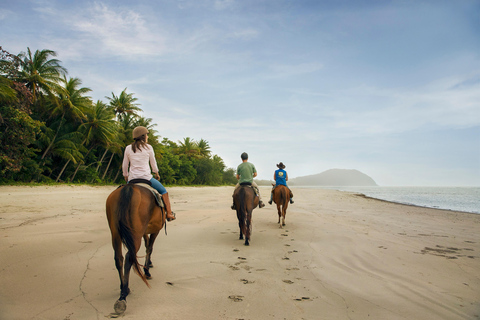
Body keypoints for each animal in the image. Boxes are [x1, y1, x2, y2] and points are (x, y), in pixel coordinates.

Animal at [104, 185, 165, 316]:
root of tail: (128, 188)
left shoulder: (145, 231)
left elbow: (147, 245)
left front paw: (149, 264)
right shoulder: (155, 230)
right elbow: (150, 248)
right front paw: (147, 271)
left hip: (115, 233)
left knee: (119, 258)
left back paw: (123, 287)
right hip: (136, 233)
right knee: (129, 258)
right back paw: (123, 297)